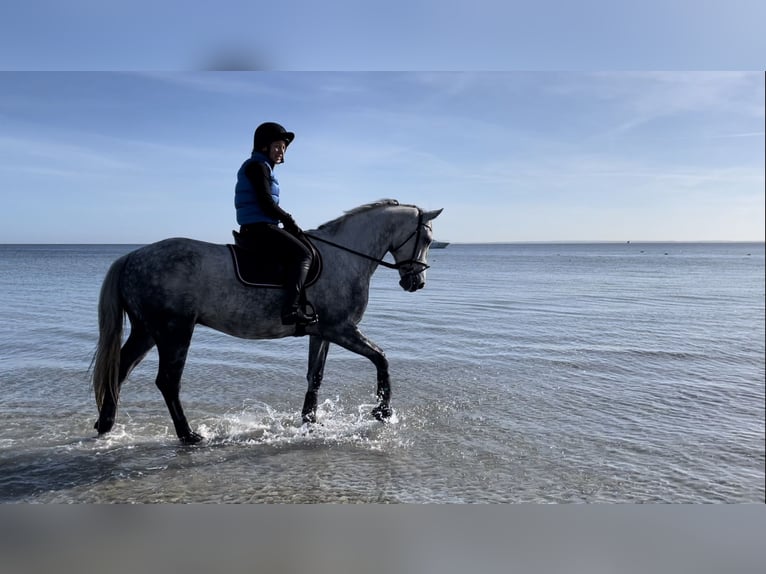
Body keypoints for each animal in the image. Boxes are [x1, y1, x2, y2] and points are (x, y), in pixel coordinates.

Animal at [91, 200, 443, 444]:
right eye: (425, 238)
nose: (417, 282)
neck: (346, 256)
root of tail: (131, 257)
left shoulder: (322, 332)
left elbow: (315, 376)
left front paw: (310, 421)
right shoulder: (342, 329)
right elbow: (381, 358)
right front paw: (383, 411)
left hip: (147, 331)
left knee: (120, 369)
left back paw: (105, 425)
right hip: (174, 331)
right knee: (167, 381)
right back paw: (188, 435)